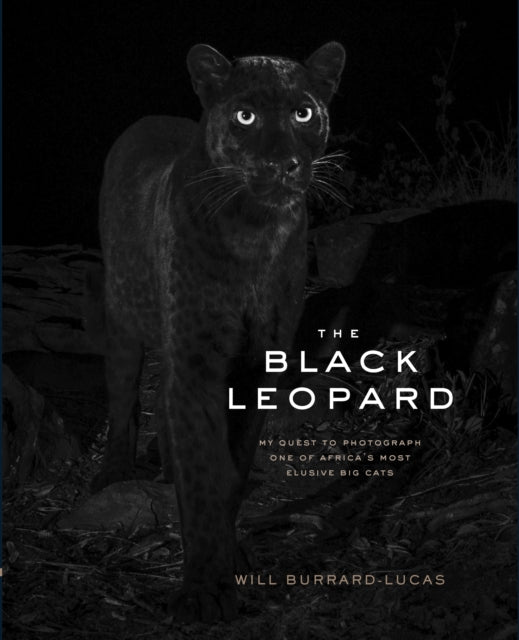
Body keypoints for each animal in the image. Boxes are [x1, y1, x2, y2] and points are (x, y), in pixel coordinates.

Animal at [93, 41, 346, 623]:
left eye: (303, 112)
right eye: (245, 115)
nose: (279, 164)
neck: (254, 230)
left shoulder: (257, 363)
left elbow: (231, 466)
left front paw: (232, 557)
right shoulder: (196, 358)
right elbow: (206, 469)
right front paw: (203, 592)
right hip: (123, 317)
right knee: (123, 395)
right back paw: (116, 470)